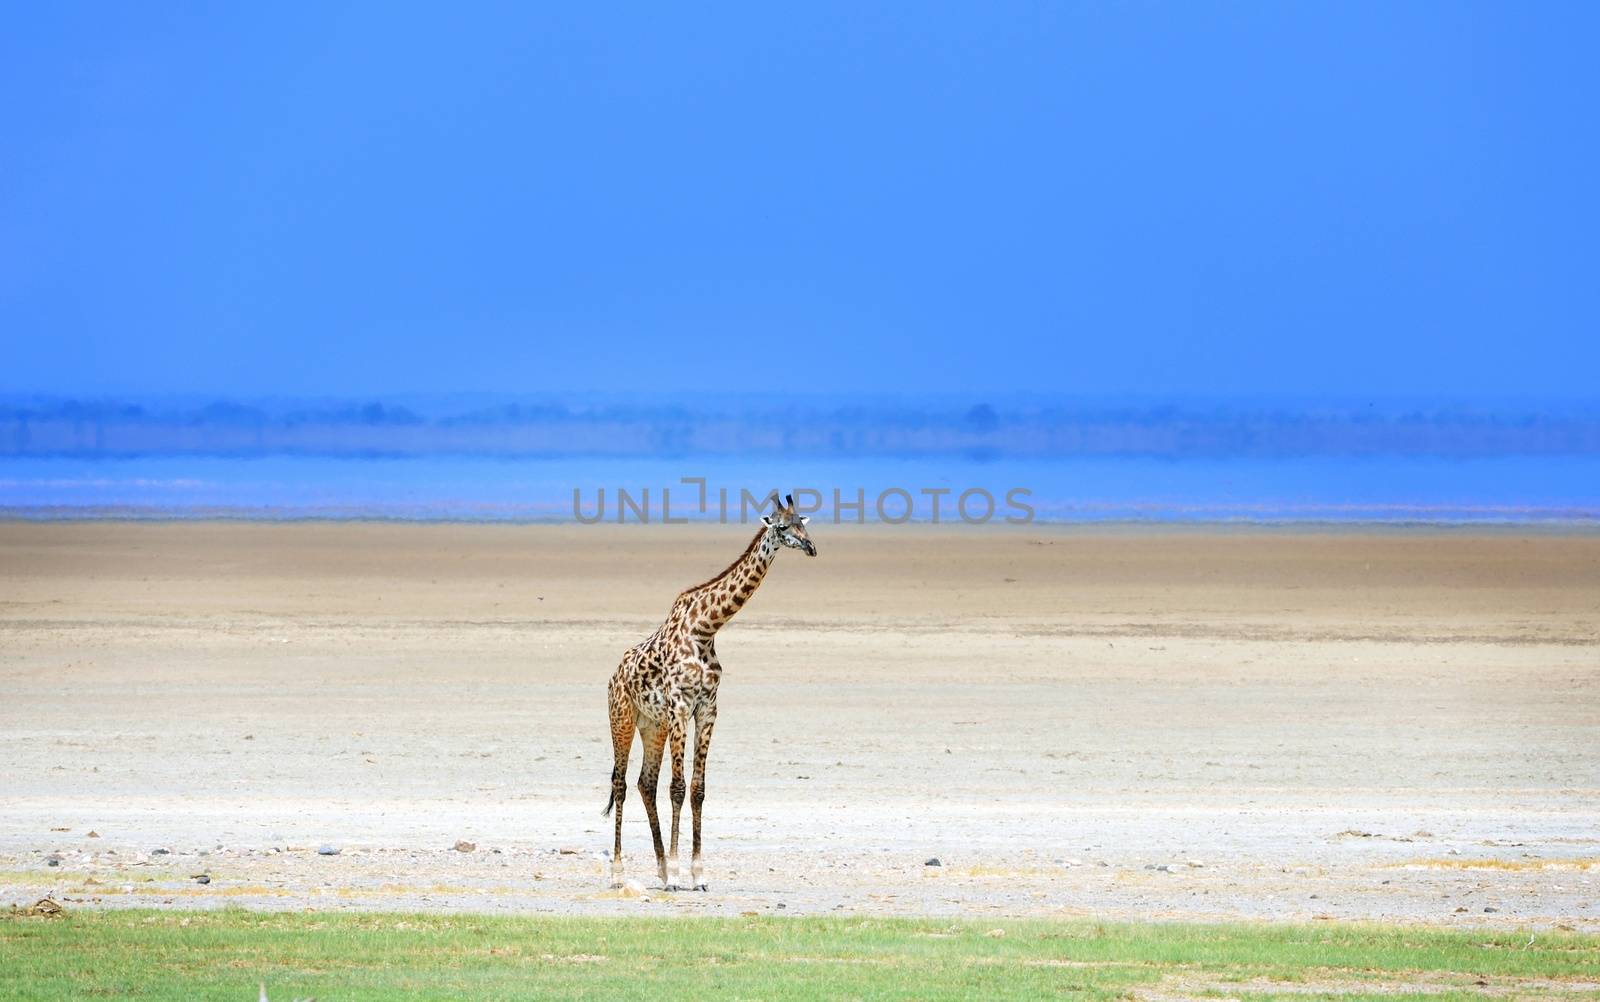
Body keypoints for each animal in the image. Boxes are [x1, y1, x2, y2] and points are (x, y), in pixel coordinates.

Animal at [601, 486, 819, 883]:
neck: (705, 629)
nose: (811, 547)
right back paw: (620, 871)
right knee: (621, 784)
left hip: (652, 726)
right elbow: (677, 787)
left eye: (803, 523)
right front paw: (677, 869)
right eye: (782, 527)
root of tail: (614, 674)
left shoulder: (707, 708)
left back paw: (659, 869)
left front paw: (696, 873)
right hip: (621, 718)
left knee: (644, 783)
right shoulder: (679, 706)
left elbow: (698, 789)